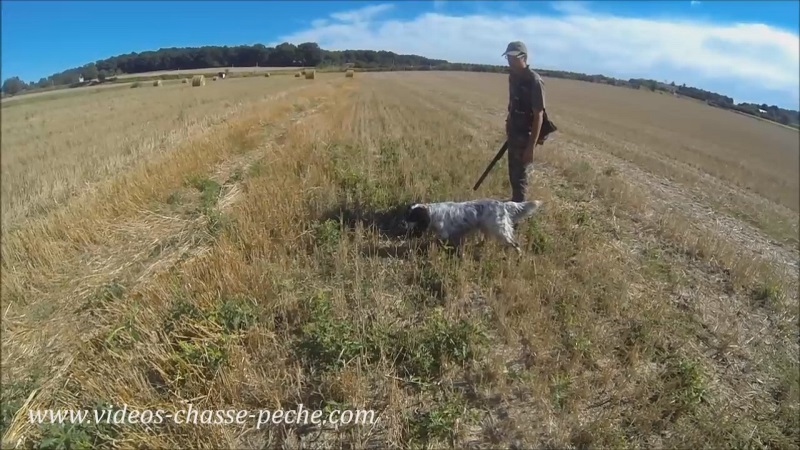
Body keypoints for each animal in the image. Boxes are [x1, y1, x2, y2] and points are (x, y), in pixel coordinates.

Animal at [400, 200, 544, 253]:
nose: (402, 223)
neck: (432, 213)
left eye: (412, 217)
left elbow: (438, 241)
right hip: (487, 227)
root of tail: (502, 204)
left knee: (515, 244)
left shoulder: (444, 234)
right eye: (407, 214)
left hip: (500, 231)